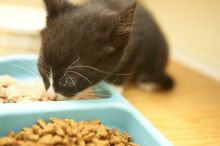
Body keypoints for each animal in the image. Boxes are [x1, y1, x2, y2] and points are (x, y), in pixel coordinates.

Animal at [38, 0, 175, 97]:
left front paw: (116, 88)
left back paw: (147, 83)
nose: (50, 95)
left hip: (159, 50)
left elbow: (129, 62)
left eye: (69, 80)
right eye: (42, 68)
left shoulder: (138, 43)